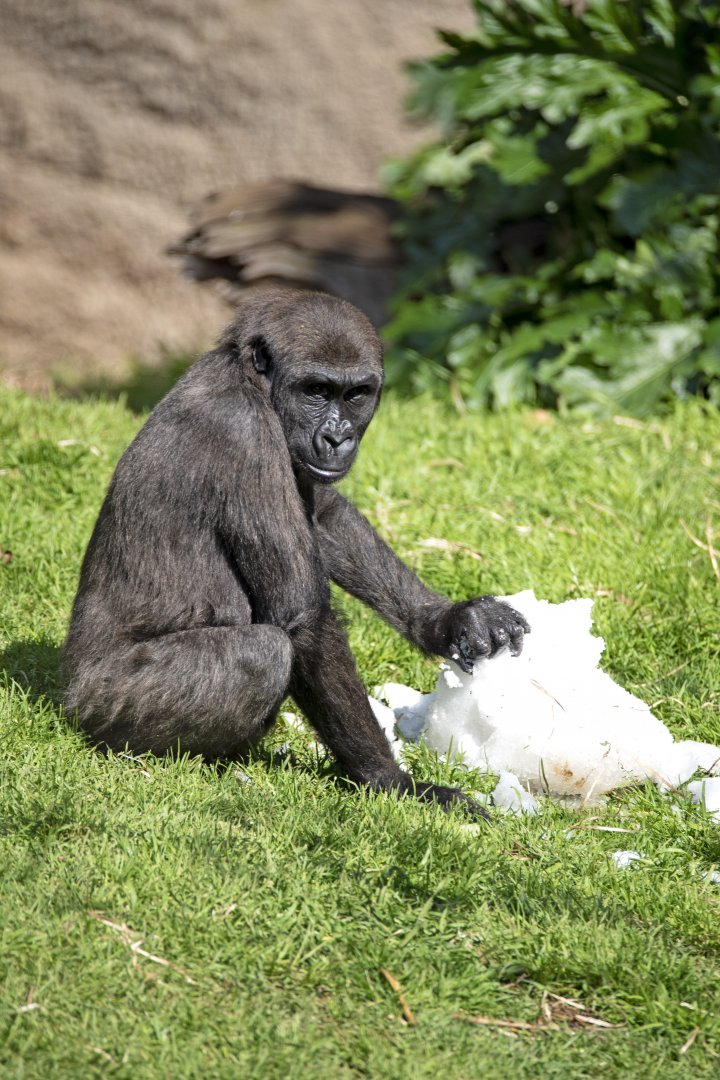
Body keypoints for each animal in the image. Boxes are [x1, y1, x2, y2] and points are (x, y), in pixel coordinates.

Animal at [63, 288, 530, 812]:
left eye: (355, 394)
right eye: (316, 391)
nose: (337, 437)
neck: (247, 377)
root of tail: (68, 697)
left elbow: (325, 514)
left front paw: (447, 621)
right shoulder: (244, 432)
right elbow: (304, 619)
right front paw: (388, 780)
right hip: (104, 705)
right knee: (262, 653)